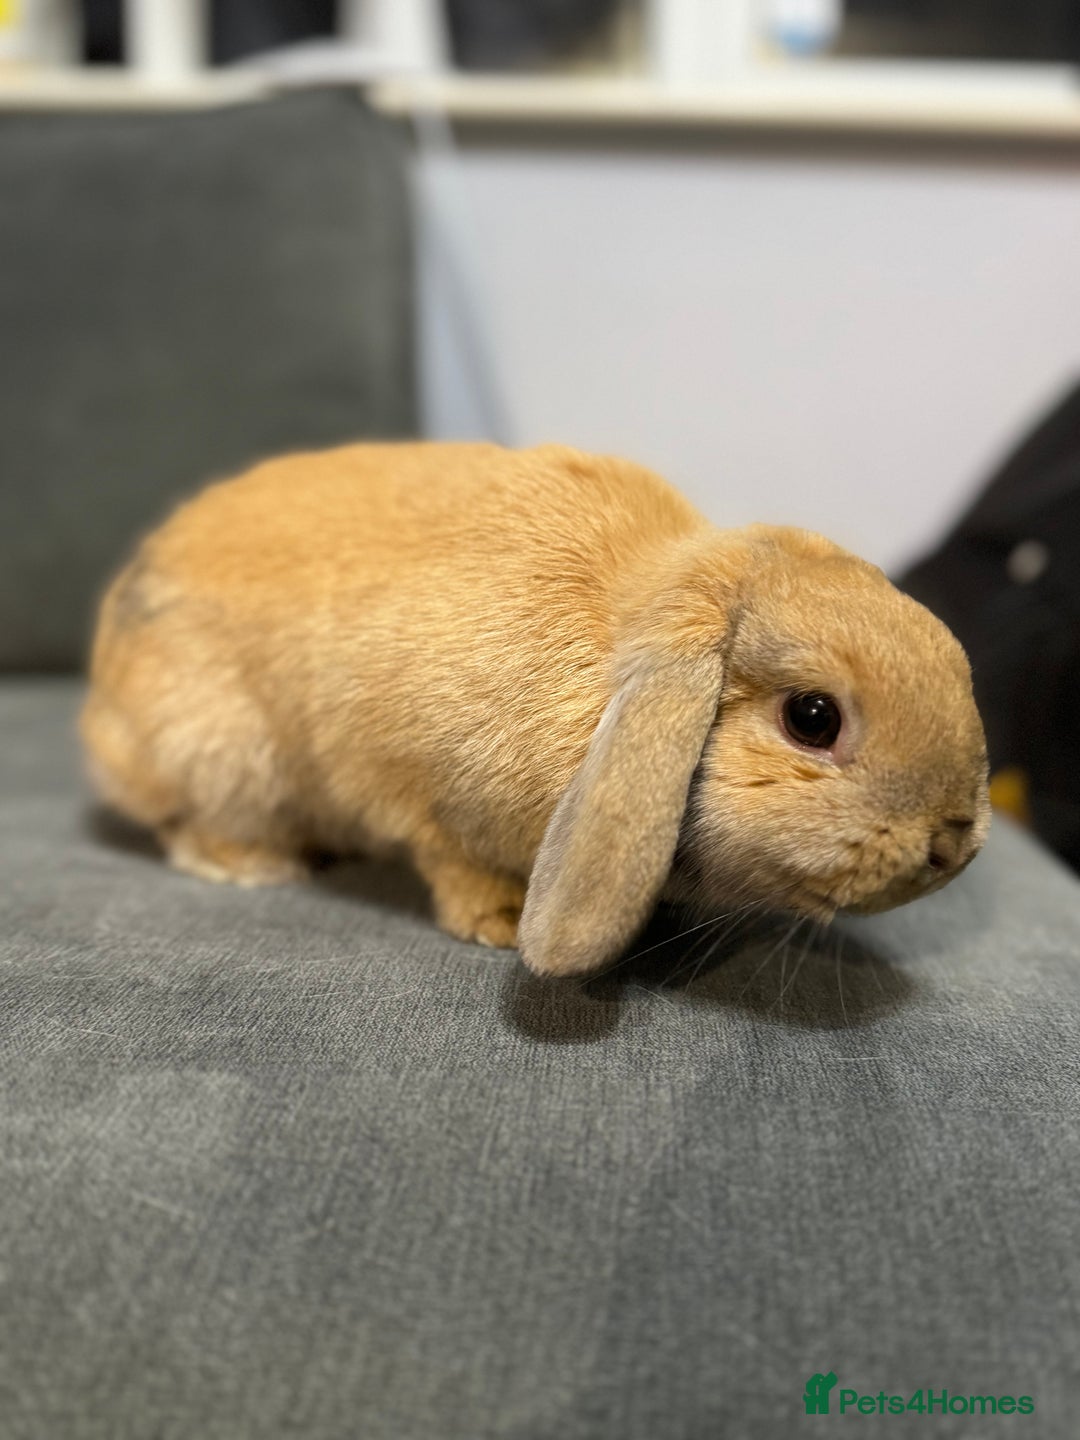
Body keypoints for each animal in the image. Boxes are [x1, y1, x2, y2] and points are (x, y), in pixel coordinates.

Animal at [81, 441, 990, 977]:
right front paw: (496, 922)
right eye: (812, 718)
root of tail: (98, 717)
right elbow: (448, 859)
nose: (954, 843)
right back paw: (254, 864)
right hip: (227, 757)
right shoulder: (419, 794)